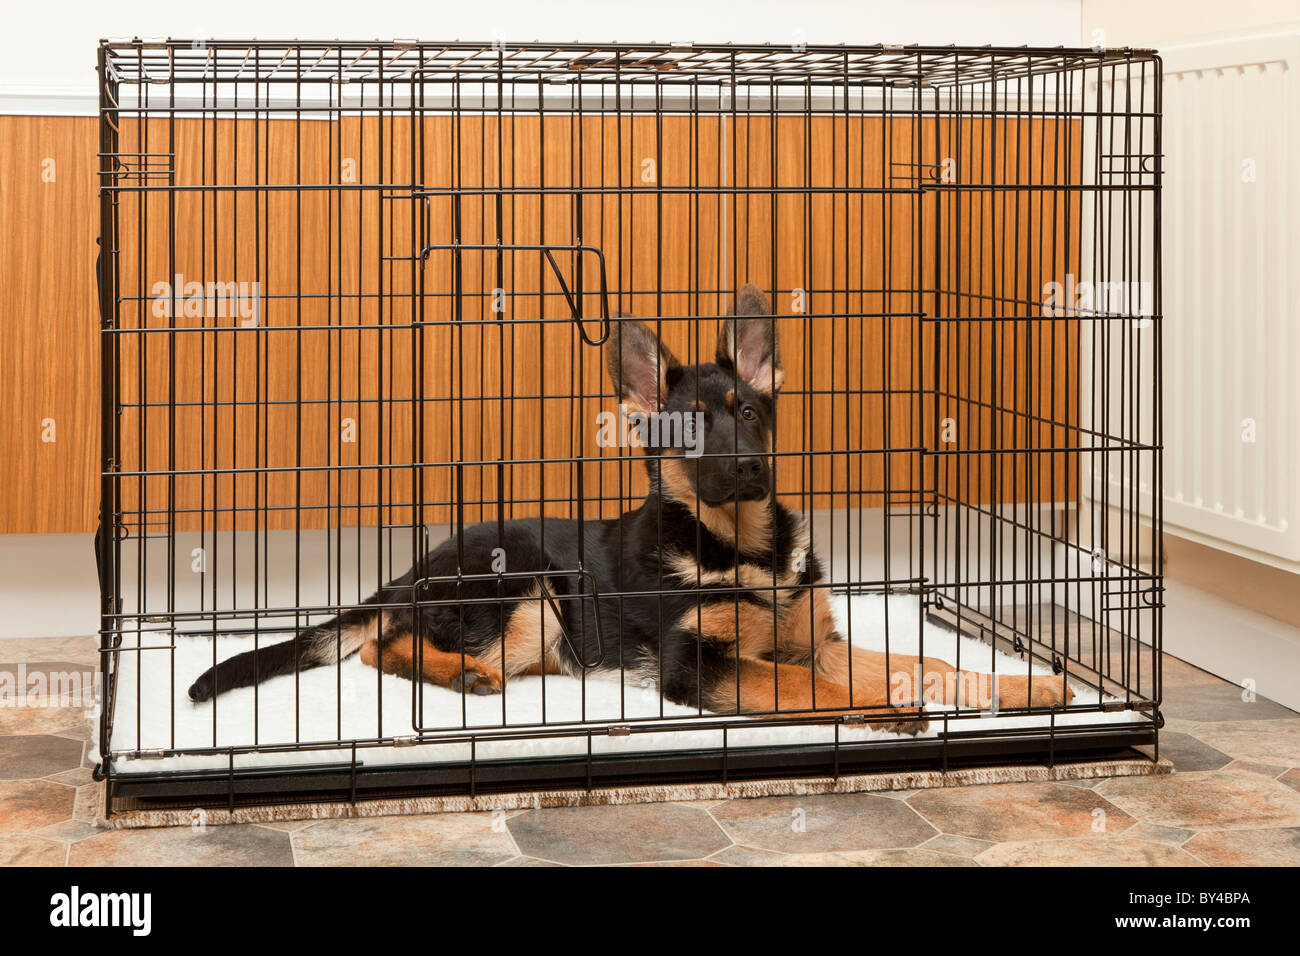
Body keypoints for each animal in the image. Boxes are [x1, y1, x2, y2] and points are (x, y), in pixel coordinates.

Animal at [188, 286, 1071, 733]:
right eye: (691, 427)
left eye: (750, 412)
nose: (751, 468)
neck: (742, 548)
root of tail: (408, 574)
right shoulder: (701, 666)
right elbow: (804, 688)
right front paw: (885, 712)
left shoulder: (817, 643)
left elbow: (934, 662)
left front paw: (1028, 688)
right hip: (527, 590)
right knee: (383, 647)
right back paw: (465, 674)